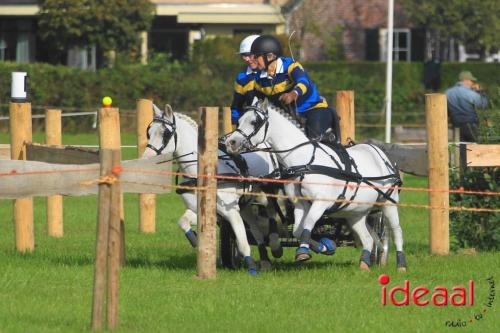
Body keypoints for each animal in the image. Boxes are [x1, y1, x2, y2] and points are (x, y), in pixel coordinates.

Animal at [143, 103, 284, 272]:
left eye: (165, 133)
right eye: (149, 132)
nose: (146, 158)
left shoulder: (231, 211)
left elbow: (242, 241)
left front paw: (251, 268)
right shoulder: (199, 210)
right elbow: (183, 222)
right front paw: (196, 242)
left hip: (265, 196)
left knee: (271, 213)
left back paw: (276, 247)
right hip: (245, 205)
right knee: (256, 229)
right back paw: (265, 260)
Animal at [225, 100, 408, 270]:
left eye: (254, 122)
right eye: (238, 120)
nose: (231, 142)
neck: (305, 161)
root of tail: (381, 154)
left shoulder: (321, 202)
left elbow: (309, 222)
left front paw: (303, 252)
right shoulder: (300, 203)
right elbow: (298, 230)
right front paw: (324, 247)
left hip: (388, 204)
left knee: (397, 231)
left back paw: (401, 265)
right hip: (355, 212)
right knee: (368, 238)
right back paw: (364, 263)